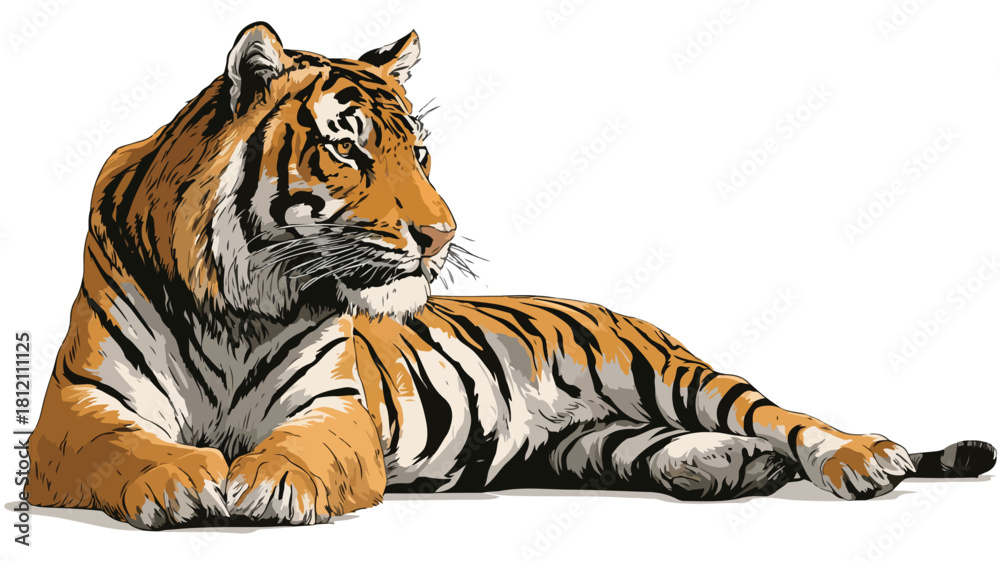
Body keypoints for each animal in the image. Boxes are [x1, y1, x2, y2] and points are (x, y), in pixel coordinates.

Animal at [27, 22, 996, 530]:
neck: (241, 298)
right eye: (348, 149)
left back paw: (863, 458)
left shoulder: (334, 410)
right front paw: (184, 478)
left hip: (669, 372)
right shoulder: (77, 412)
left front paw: (269, 482)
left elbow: (299, 448)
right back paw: (725, 467)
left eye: (418, 152)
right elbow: (129, 445)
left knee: (783, 415)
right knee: (689, 444)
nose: (439, 233)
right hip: (593, 441)